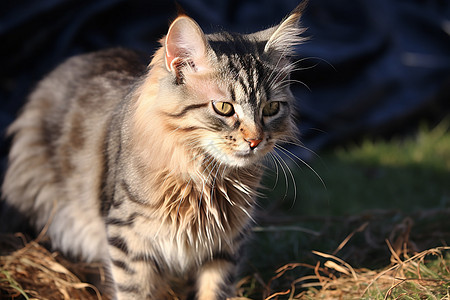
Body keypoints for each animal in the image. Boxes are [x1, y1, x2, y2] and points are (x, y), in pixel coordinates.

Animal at [0, 2, 306, 300]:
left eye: (271, 108)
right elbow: (134, 291)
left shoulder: (225, 245)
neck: (204, 177)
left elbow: (213, 290)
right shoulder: (129, 240)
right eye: (223, 108)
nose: (256, 140)